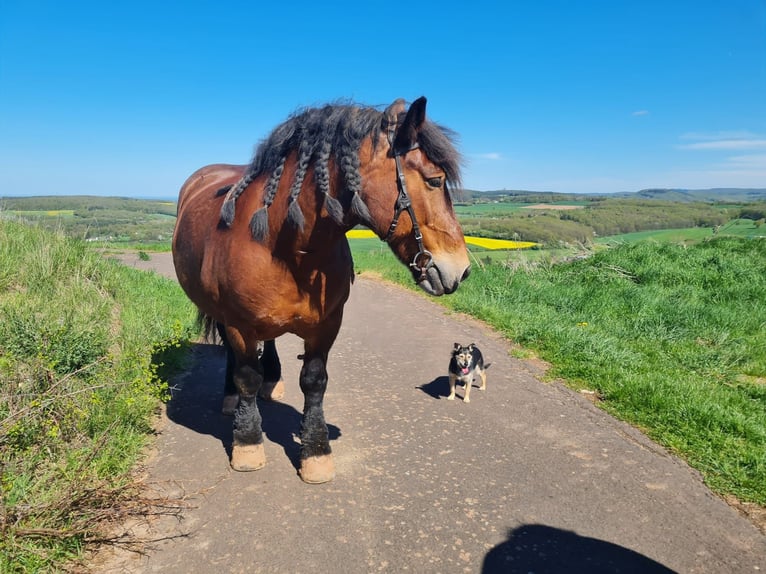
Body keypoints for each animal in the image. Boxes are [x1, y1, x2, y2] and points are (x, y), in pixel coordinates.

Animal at [172, 97, 471, 483]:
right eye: (435, 180)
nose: (462, 270)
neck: (285, 244)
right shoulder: (240, 324)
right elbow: (247, 377)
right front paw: (248, 443)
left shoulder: (327, 325)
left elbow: (314, 382)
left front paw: (315, 450)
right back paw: (231, 397)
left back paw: (272, 380)